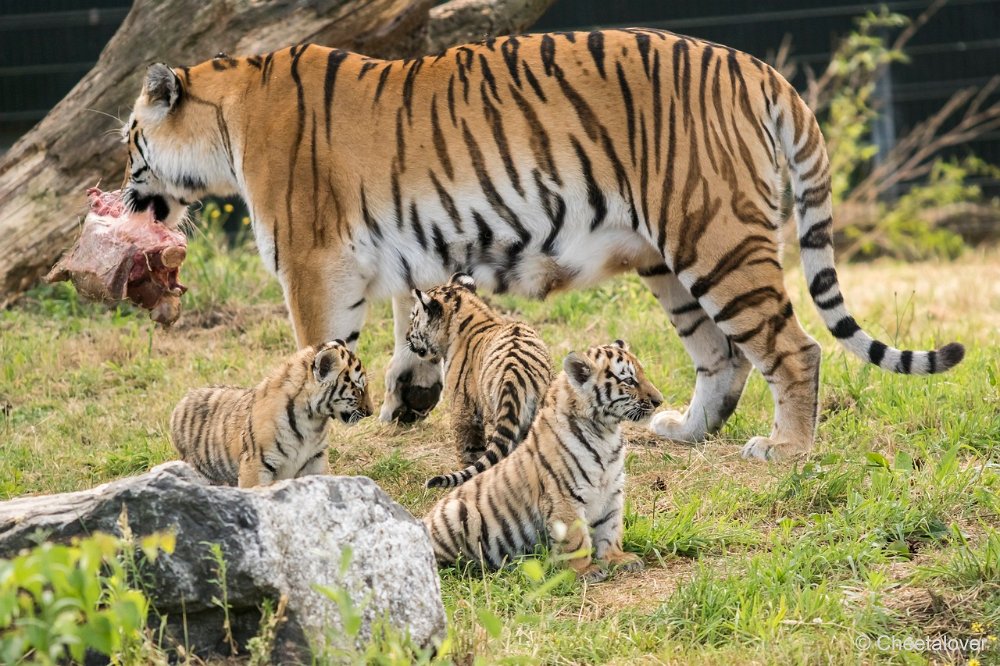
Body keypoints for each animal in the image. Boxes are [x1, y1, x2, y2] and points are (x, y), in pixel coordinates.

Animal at [121, 28, 964, 460]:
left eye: (130, 139)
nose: (122, 195)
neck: (227, 117)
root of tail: (757, 68)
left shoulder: (311, 262)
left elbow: (316, 352)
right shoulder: (392, 253)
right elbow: (412, 327)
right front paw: (407, 396)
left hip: (714, 236)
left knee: (794, 349)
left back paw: (785, 450)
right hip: (668, 256)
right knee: (721, 356)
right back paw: (683, 431)